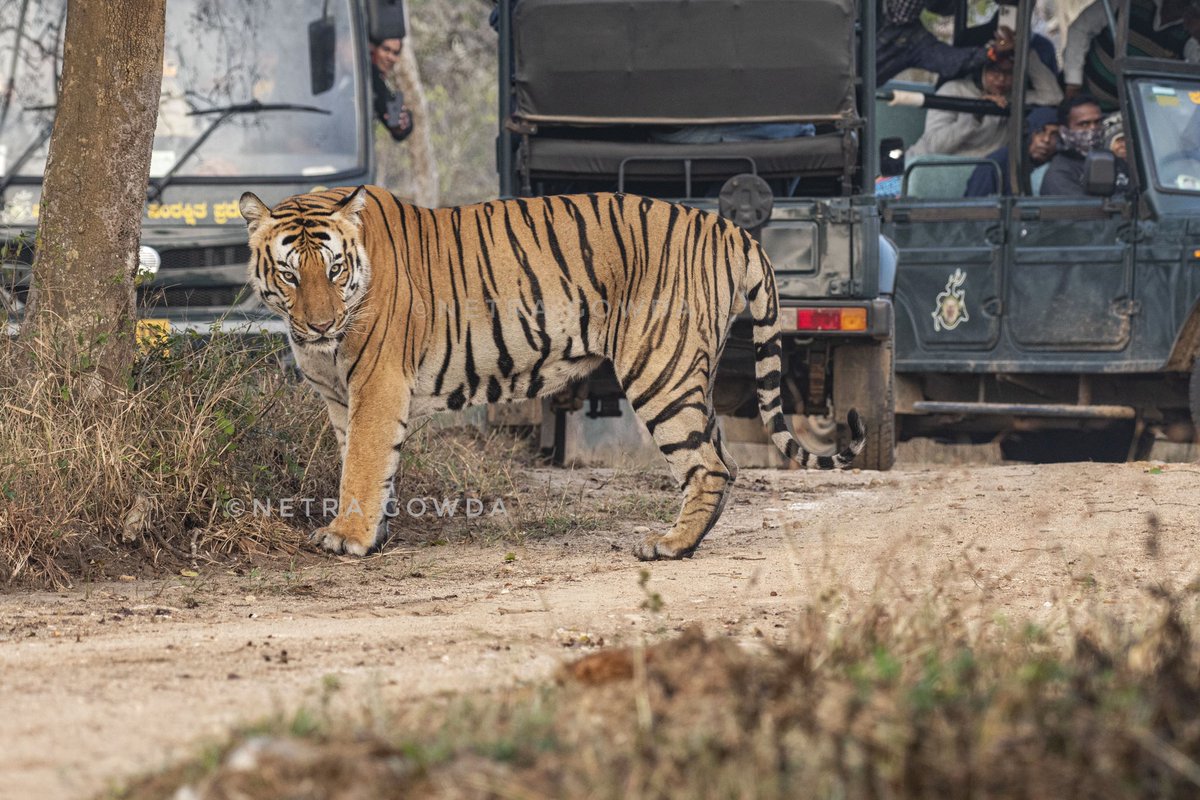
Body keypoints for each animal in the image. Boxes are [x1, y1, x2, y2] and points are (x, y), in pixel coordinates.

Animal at [238, 185, 865, 560]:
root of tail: (729, 227)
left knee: (708, 465)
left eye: (334, 269)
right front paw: (375, 534)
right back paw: (686, 540)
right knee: (725, 461)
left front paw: (346, 537)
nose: (320, 325)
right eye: (291, 275)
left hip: (659, 368)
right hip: (692, 374)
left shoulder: (376, 384)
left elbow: (364, 464)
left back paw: (668, 547)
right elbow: (365, 461)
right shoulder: (341, 397)